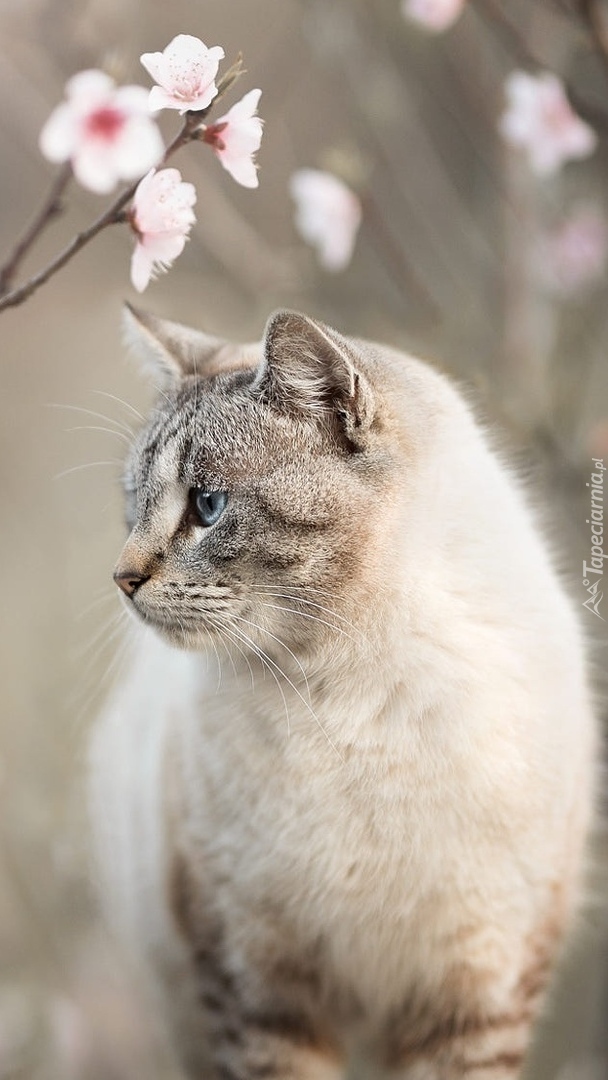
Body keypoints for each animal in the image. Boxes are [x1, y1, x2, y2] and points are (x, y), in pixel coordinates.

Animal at [89, 306, 600, 1080]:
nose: (122, 579)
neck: (350, 691)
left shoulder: (474, 994)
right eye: (133, 508)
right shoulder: (261, 990)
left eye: (207, 506)